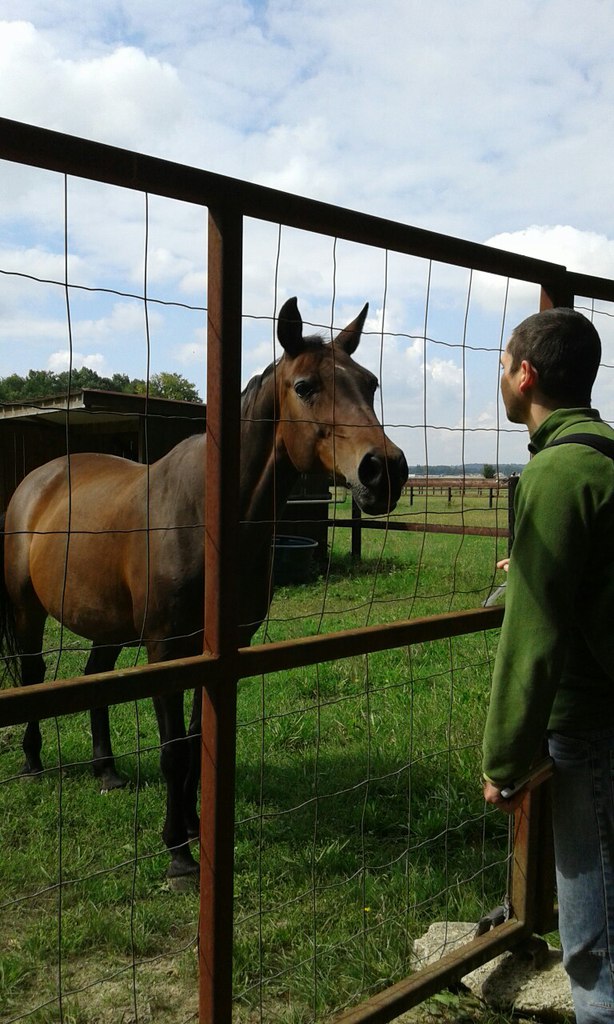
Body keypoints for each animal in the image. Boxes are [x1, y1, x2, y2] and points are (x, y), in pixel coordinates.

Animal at [1, 299, 413, 880]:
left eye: (370, 384)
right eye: (305, 386)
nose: (385, 471)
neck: (208, 520)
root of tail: (37, 481)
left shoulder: (219, 647)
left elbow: (198, 743)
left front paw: (196, 826)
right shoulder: (166, 648)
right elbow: (174, 749)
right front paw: (178, 853)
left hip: (108, 625)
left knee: (95, 678)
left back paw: (106, 771)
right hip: (27, 610)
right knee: (35, 673)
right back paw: (33, 761)